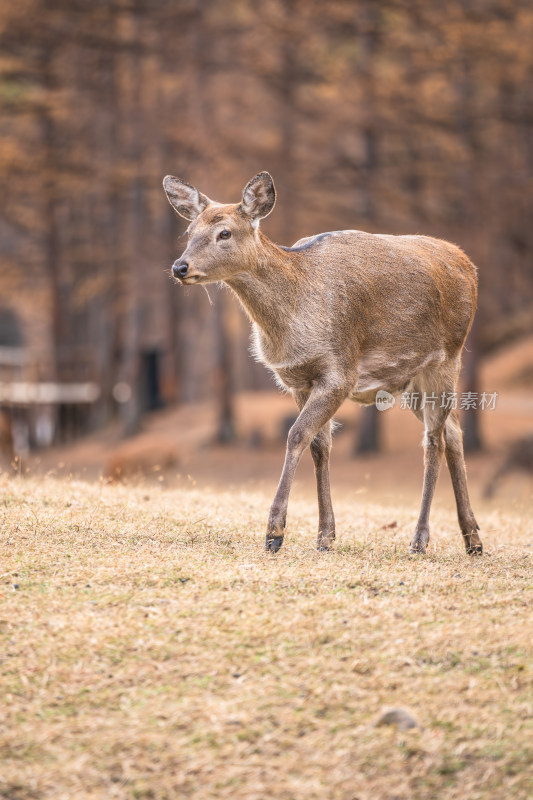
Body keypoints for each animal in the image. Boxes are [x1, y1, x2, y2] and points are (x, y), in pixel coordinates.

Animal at [162, 170, 482, 556]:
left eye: (224, 232)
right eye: (189, 231)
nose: (180, 267)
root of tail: (469, 265)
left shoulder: (340, 371)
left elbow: (296, 434)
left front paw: (274, 533)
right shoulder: (299, 380)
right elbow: (319, 446)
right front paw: (325, 535)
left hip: (448, 357)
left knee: (433, 441)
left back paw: (419, 539)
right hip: (410, 382)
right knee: (454, 432)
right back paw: (473, 539)